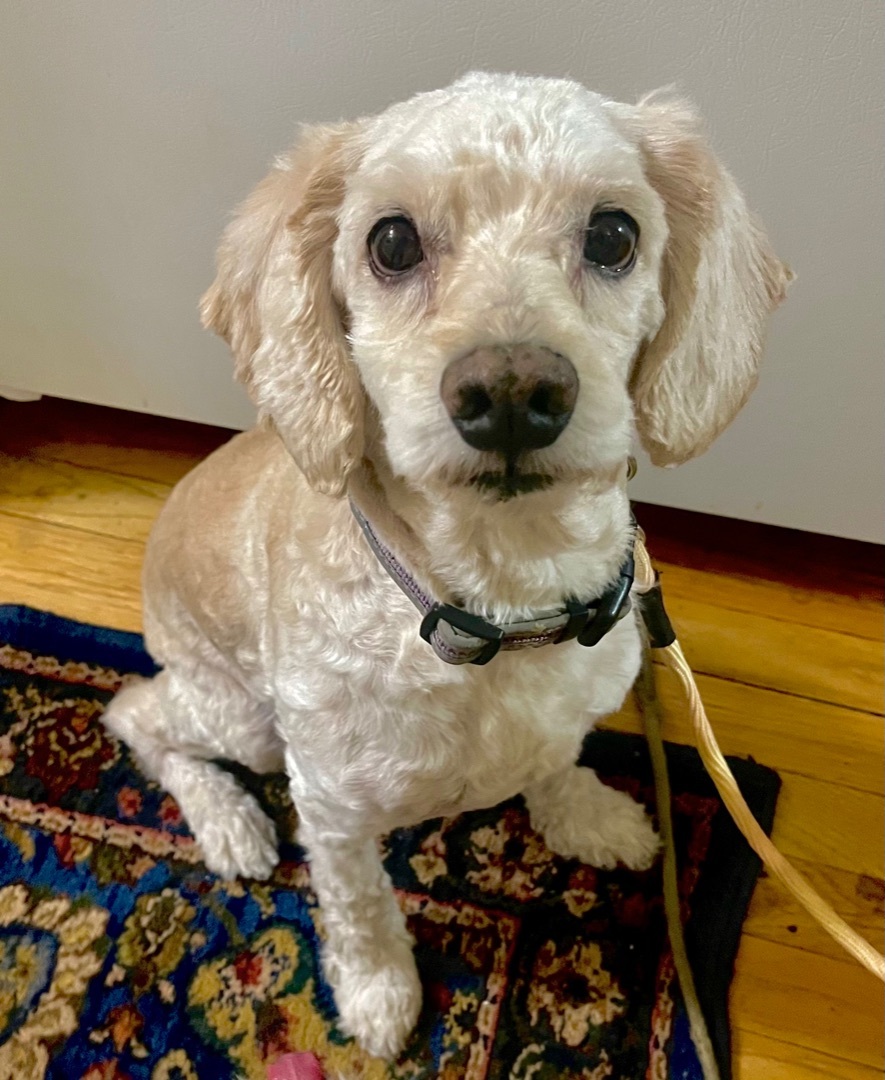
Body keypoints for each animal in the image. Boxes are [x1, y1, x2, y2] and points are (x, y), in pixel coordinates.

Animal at [103, 69, 790, 1054]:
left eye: (613, 235)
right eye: (390, 242)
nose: (510, 391)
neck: (496, 604)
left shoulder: (559, 710)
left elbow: (557, 758)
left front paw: (583, 813)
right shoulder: (331, 807)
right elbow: (357, 906)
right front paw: (377, 990)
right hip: (241, 718)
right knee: (136, 713)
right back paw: (227, 821)